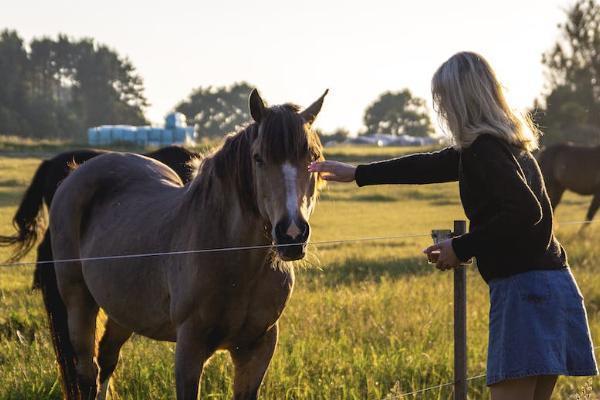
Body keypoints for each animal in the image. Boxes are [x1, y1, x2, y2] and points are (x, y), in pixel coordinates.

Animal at [45, 89, 328, 398]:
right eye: (258, 158)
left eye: (313, 157)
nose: (292, 233)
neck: (232, 260)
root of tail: (75, 174)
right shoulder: (190, 349)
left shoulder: (258, 348)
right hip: (78, 301)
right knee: (88, 373)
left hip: (122, 307)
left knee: (107, 359)